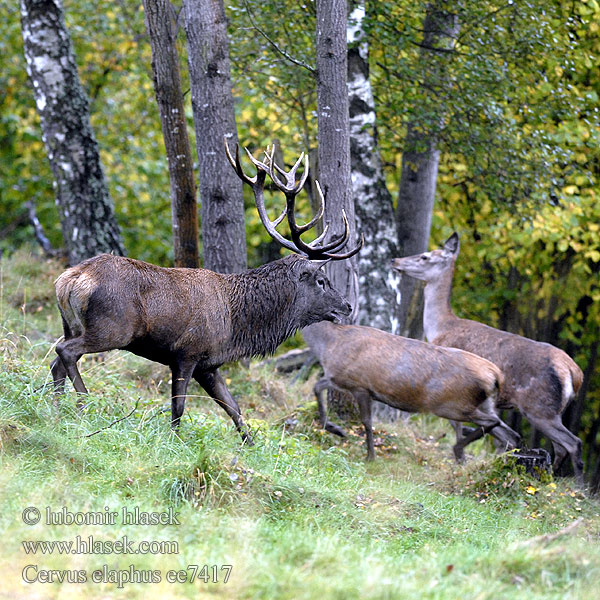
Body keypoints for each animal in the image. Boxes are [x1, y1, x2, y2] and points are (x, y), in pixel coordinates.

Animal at [50, 142, 360, 440]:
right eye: (321, 280)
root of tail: (69, 280)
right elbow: (179, 407)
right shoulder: (187, 352)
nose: (347, 306)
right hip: (113, 328)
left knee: (57, 362)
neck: (236, 325)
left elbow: (234, 409)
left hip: (72, 325)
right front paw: (174, 442)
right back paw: (83, 403)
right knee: (65, 351)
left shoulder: (208, 365)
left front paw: (250, 445)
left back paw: (57, 408)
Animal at [302, 322, 516, 462]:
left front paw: (369, 456)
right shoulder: (339, 379)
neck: (328, 344)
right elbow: (316, 387)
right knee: (510, 434)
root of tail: (495, 374)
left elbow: (367, 422)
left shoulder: (359, 385)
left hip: (453, 405)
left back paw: (459, 451)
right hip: (484, 403)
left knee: (493, 424)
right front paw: (334, 428)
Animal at [392, 232, 584, 486]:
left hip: (538, 407)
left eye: (425, 257)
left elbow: (457, 425)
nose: (395, 260)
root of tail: (575, 373)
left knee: (573, 443)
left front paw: (460, 461)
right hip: (552, 410)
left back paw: (579, 487)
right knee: (560, 446)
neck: (439, 328)